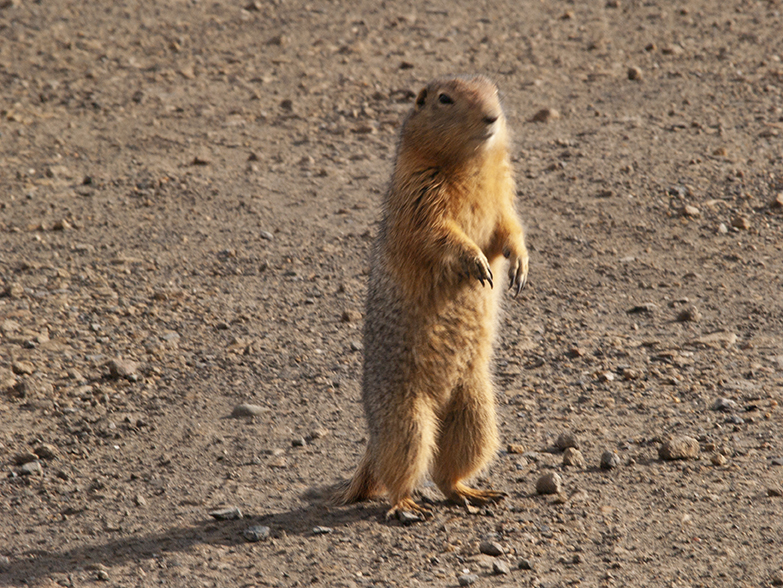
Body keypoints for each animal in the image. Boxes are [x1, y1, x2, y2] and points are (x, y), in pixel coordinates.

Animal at [334, 73, 528, 520]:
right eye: (444, 99)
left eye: (495, 91)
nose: (493, 117)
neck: (471, 164)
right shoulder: (421, 192)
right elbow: (438, 232)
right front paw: (476, 263)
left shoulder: (503, 193)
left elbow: (509, 226)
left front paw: (520, 266)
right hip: (406, 419)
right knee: (401, 471)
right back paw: (406, 505)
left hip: (475, 412)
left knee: (446, 473)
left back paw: (472, 493)